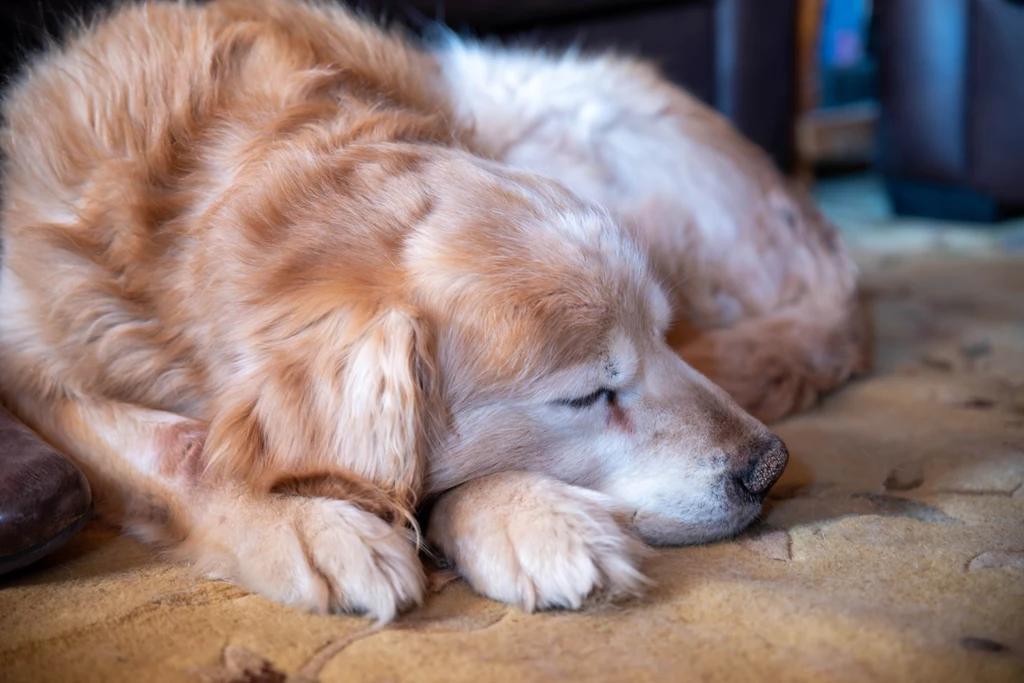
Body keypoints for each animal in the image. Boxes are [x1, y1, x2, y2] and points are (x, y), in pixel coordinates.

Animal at [0, 0, 864, 622]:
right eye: (589, 394)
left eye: (661, 334)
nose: (768, 465)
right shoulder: (28, 363)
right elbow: (184, 447)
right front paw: (310, 526)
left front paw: (523, 516)